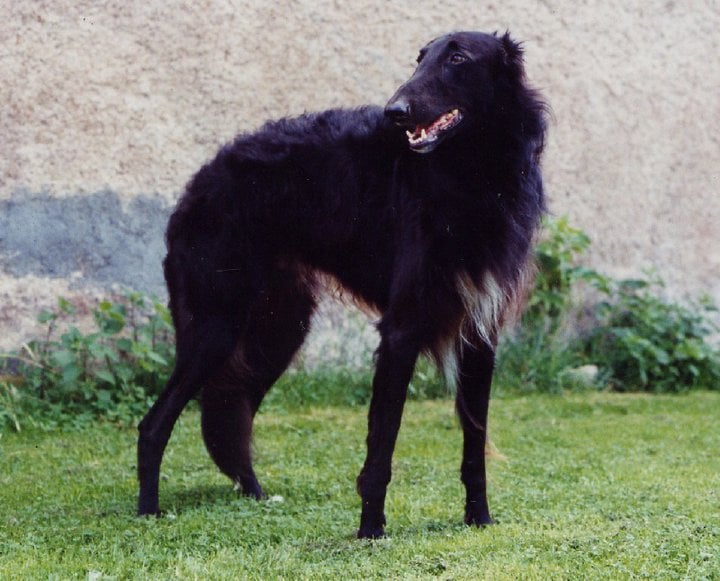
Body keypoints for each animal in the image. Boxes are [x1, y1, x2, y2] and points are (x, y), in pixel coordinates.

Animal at [138, 30, 548, 540]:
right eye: (420, 58)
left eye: (457, 57)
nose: (395, 111)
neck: (470, 174)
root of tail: (199, 182)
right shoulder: (400, 331)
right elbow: (382, 447)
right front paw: (371, 531)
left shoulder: (480, 335)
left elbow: (474, 448)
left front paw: (479, 519)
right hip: (217, 327)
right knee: (155, 425)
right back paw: (148, 510)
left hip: (277, 331)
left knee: (230, 414)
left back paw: (254, 494)